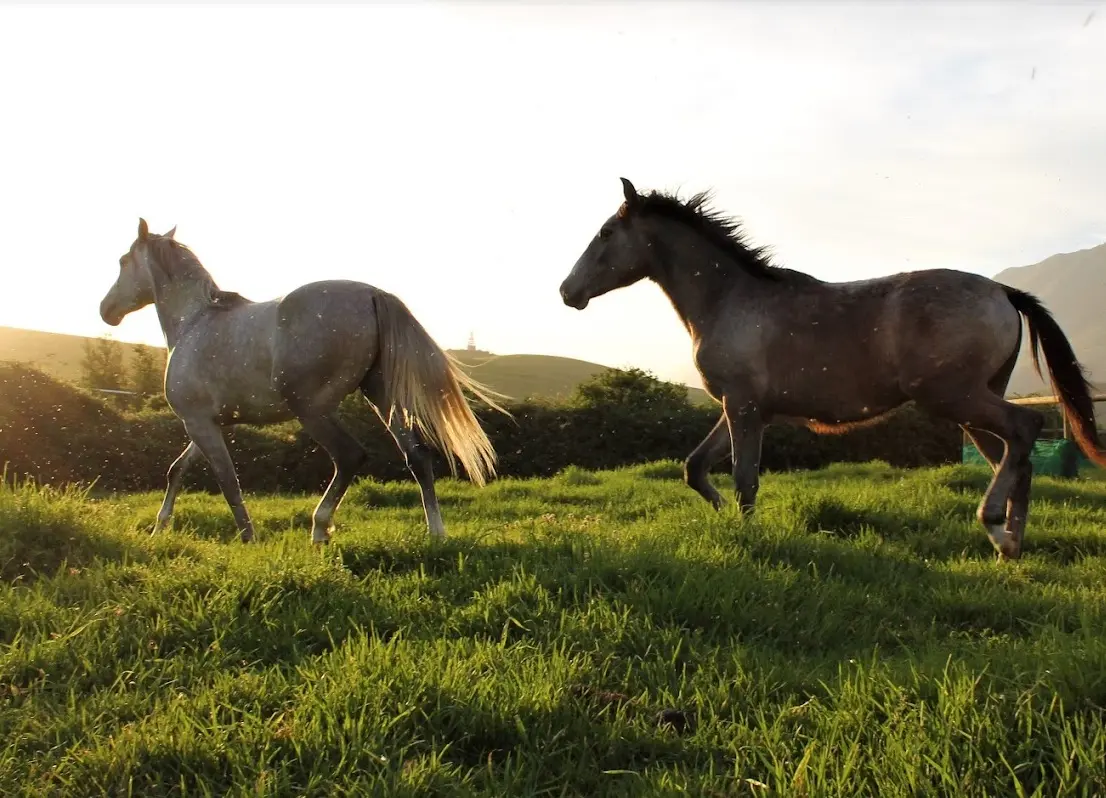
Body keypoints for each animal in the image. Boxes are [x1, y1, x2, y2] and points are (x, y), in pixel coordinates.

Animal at [99, 219, 510, 545]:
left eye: (122, 262)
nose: (106, 311)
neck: (195, 322)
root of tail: (374, 294)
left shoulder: (199, 422)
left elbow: (227, 481)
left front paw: (248, 539)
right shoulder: (212, 424)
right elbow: (178, 470)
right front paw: (159, 527)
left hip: (311, 409)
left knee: (350, 456)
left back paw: (320, 529)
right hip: (382, 398)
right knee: (418, 457)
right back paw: (435, 533)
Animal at [558, 178, 1106, 561]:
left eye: (606, 232)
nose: (567, 291)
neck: (729, 299)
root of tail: (1002, 291)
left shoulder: (743, 407)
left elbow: (743, 477)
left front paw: (748, 535)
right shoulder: (747, 408)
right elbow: (695, 467)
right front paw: (725, 519)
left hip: (956, 397)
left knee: (1026, 427)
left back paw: (994, 526)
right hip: (974, 405)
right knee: (1014, 457)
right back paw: (1010, 544)